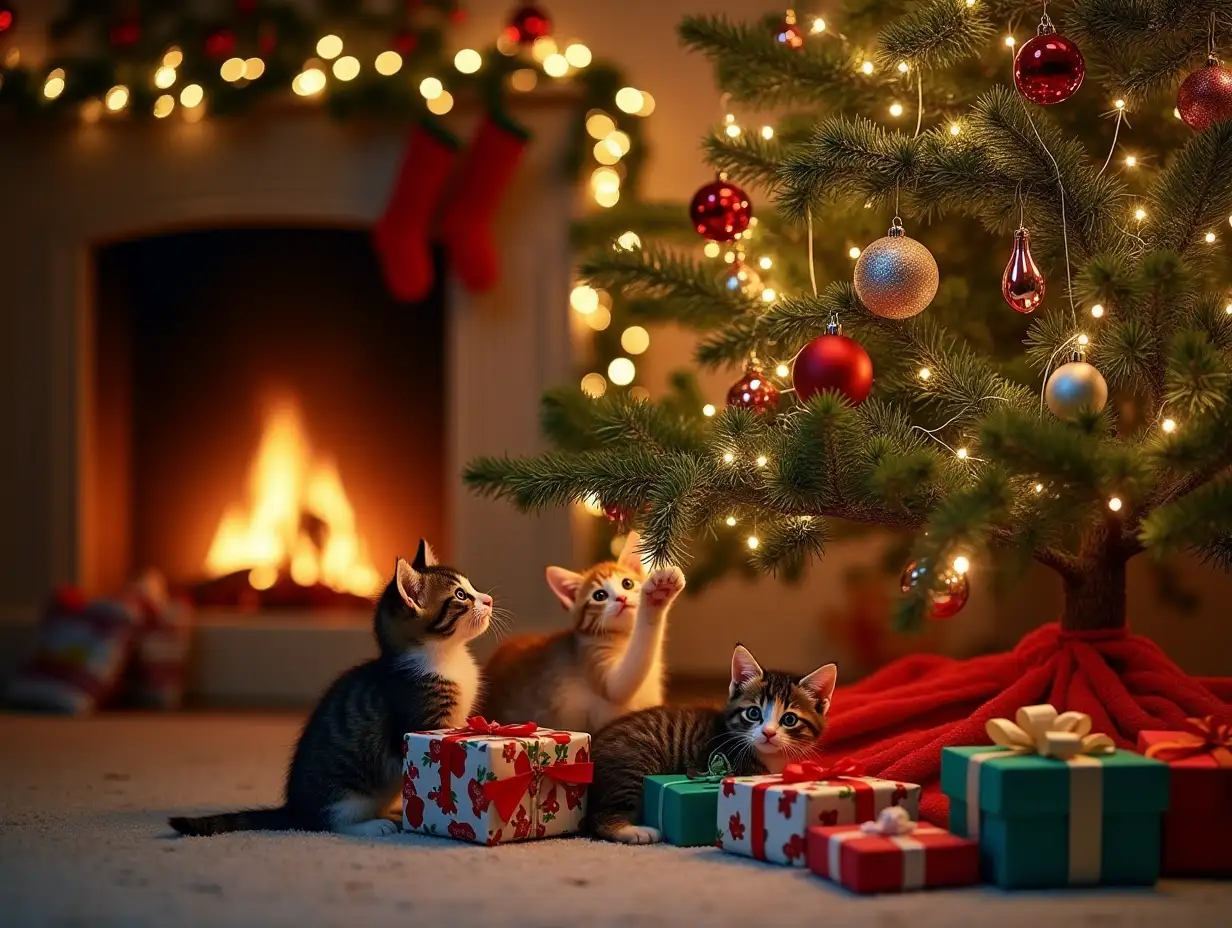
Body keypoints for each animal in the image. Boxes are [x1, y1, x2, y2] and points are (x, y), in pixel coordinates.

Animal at [170, 539, 495, 838]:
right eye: (461, 595)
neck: (447, 656)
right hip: (344, 795)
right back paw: (374, 825)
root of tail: (294, 809)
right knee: (330, 823)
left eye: (470, 587)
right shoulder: (422, 720)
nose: (489, 599)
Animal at [478, 532, 684, 734]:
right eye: (599, 596)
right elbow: (623, 680)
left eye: (627, 583)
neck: (622, 638)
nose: (621, 598)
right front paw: (655, 598)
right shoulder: (596, 662)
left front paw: (662, 592)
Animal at [586, 645, 837, 838]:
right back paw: (636, 831)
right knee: (600, 817)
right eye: (753, 713)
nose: (768, 733)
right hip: (634, 762)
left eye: (789, 719)